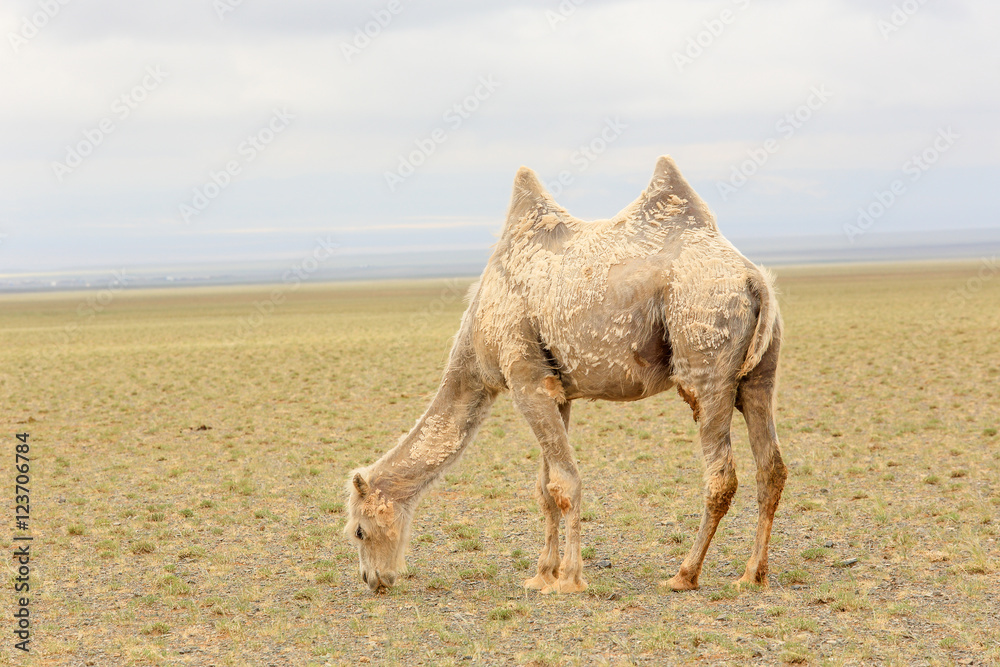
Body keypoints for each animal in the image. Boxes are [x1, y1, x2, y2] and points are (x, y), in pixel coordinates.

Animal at [345, 155, 787, 594]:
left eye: (359, 531)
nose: (373, 579)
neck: (475, 341)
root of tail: (754, 279)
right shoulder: (557, 391)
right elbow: (545, 488)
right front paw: (542, 574)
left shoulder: (525, 377)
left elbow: (565, 484)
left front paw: (570, 578)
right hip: (758, 375)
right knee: (771, 466)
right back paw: (753, 574)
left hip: (705, 356)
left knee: (721, 475)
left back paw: (684, 574)